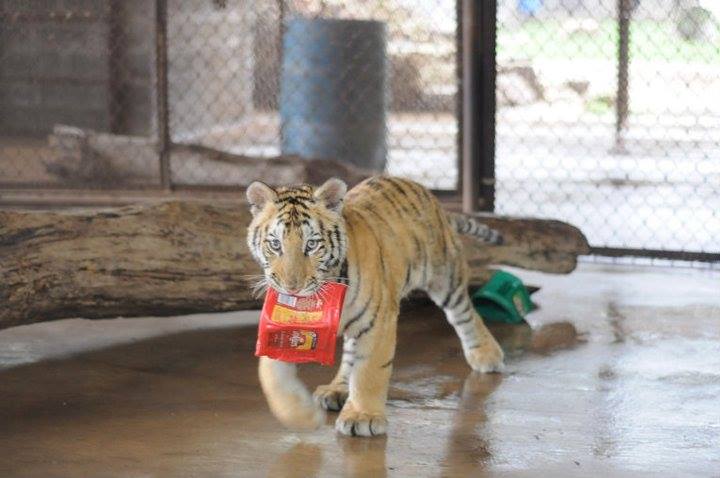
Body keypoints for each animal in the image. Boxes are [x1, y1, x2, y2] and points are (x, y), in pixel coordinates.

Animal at [246, 176, 504, 437]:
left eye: (311, 245)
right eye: (275, 244)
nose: (292, 288)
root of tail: (427, 193)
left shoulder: (378, 320)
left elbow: (369, 371)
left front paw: (363, 417)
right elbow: (271, 375)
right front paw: (302, 417)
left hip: (445, 276)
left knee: (466, 315)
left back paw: (486, 354)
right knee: (351, 352)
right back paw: (336, 389)